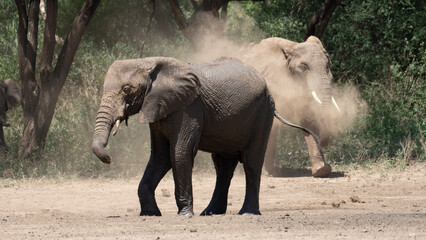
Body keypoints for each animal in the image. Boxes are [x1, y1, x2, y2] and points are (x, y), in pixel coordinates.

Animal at [91, 56, 322, 216]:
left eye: (127, 89)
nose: (109, 158)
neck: (150, 62)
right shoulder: (158, 108)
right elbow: (160, 157)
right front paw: (150, 214)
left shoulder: (189, 107)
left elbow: (180, 152)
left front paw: (184, 214)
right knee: (223, 166)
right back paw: (210, 212)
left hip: (263, 112)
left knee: (251, 161)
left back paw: (246, 212)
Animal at [241, 36, 342, 178]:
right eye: (303, 67)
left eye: (328, 66)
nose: (322, 141)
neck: (290, 47)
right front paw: (266, 174)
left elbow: (308, 121)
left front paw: (322, 171)